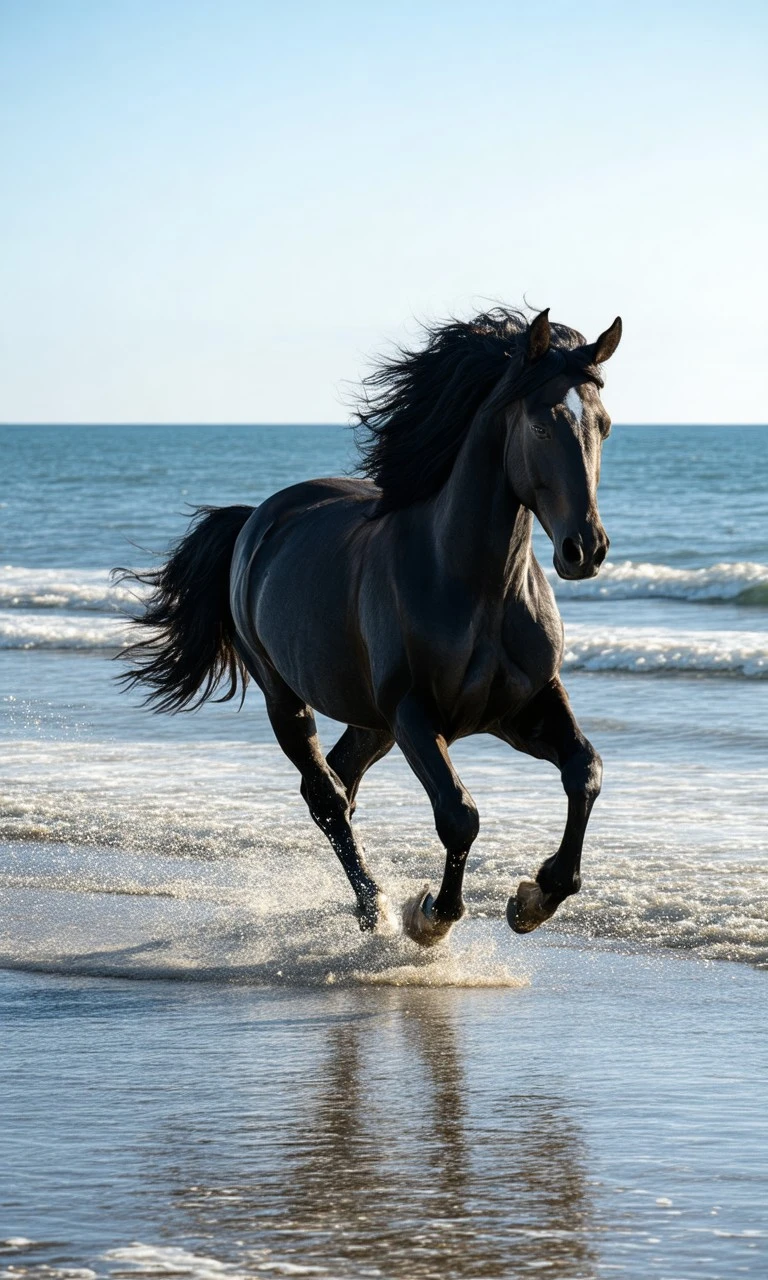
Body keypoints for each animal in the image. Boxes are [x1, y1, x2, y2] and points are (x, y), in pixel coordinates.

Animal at [121, 307, 624, 952]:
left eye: (603, 427)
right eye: (542, 426)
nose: (585, 550)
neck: (475, 589)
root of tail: (257, 518)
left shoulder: (524, 707)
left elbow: (585, 771)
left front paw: (535, 898)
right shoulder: (415, 714)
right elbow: (459, 814)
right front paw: (432, 916)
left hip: (372, 721)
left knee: (342, 780)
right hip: (291, 699)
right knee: (326, 795)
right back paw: (374, 906)